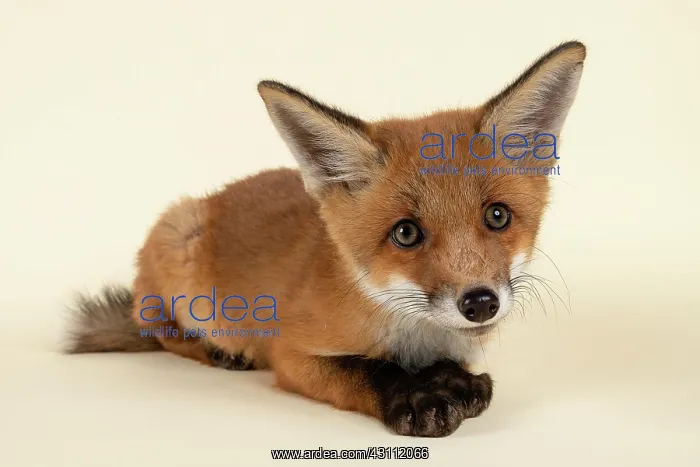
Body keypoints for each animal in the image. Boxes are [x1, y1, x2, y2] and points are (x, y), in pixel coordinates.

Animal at [64, 41, 586, 437]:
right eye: (406, 233)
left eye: (497, 216)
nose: (479, 303)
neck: (412, 336)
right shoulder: (292, 354)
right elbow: (365, 370)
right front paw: (416, 392)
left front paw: (448, 379)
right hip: (177, 241)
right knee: (164, 332)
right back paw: (222, 350)